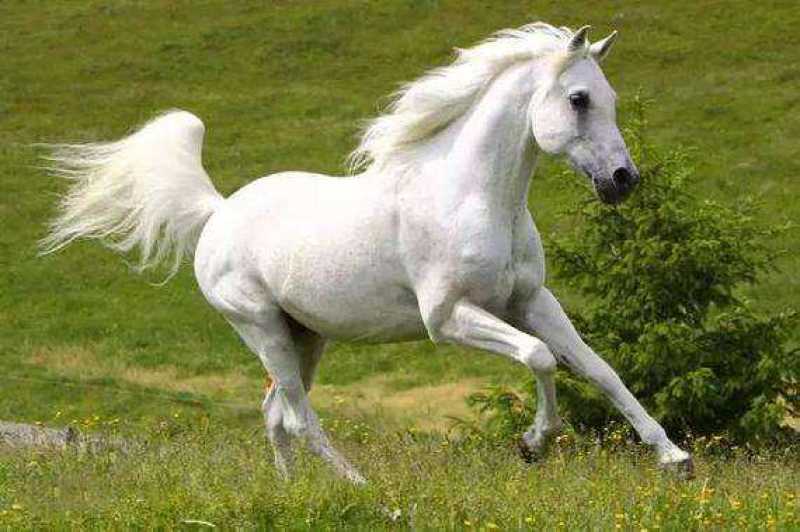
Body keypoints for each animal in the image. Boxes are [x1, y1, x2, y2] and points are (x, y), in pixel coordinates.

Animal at [41, 23, 693, 483]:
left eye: (610, 96)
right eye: (579, 99)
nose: (623, 180)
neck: (469, 197)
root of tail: (218, 213)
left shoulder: (531, 301)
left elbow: (597, 367)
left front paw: (674, 457)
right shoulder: (449, 318)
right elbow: (539, 359)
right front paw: (533, 445)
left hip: (305, 336)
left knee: (275, 413)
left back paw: (295, 492)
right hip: (261, 328)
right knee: (299, 416)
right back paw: (363, 489)